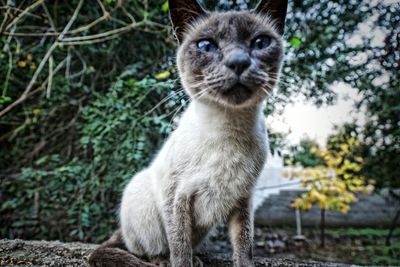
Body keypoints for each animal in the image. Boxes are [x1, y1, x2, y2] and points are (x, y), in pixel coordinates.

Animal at [87, 0, 288, 266]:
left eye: (260, 42)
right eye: (206, 45)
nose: (238, 61)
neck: (229, 128)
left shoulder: (243, 198)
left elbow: (244, 246)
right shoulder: (177, 197)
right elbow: (179, 246)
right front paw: (181, 261)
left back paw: (199, 258)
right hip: (141, 195)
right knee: (147, 249)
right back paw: (164, 260)